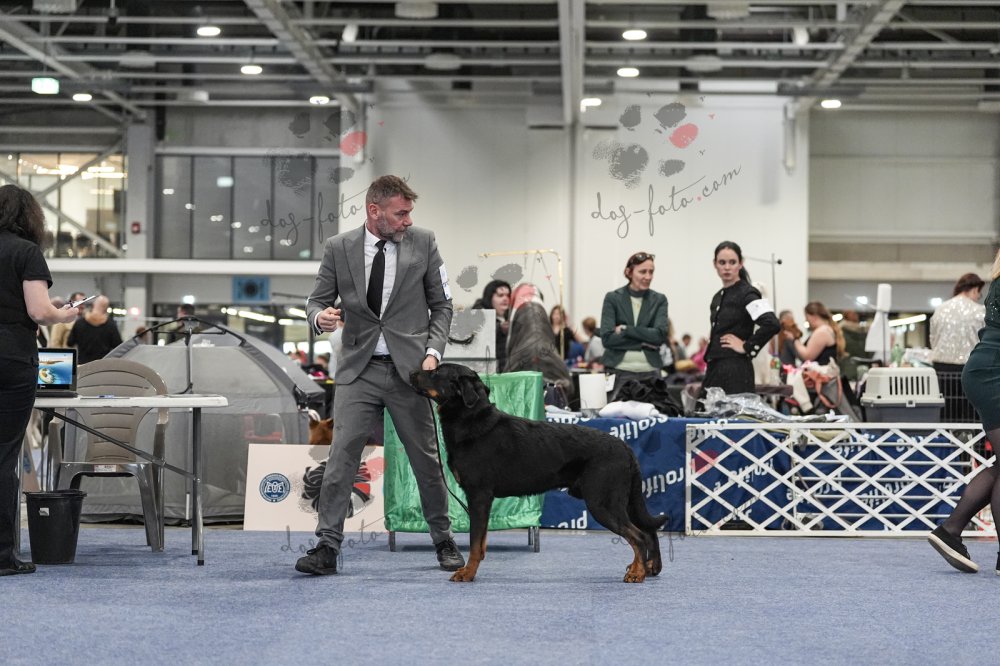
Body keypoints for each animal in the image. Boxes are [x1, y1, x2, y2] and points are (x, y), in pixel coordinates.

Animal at [410, 363, 667, 583]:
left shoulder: (479, 496)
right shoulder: (482, 499)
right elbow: (481, 542)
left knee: (638, 536)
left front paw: (467, 573)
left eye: (436, 372)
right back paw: (649, 568)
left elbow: (475, 542)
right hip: (624, 500)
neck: (470, 420)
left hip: (603, 502)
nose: (411, 372)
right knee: (648, 530)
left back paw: (637, 573)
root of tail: (625, 448)